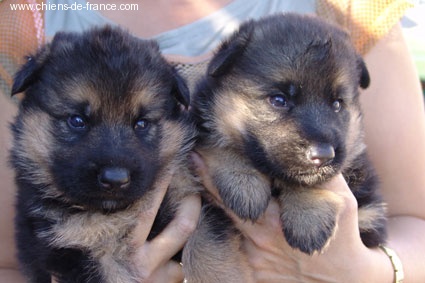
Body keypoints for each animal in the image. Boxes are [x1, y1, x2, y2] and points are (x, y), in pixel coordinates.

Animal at [190, 13, 386, 256]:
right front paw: (244, 183)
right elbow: (220, 143)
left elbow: (310, 181)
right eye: (279, 100)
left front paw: (308, 216)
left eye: (337, 104)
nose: (323, 155)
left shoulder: (369, 216)